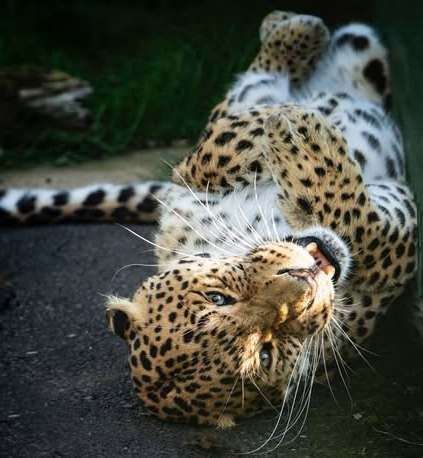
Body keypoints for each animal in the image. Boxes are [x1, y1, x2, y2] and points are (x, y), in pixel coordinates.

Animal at [0, 10, 420, 432]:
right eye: (267, 350)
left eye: (217, 297)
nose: (307, 277)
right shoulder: (396, 246)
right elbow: (360, 223)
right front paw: (299, 125)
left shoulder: (194, 177)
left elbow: (240, 121)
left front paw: (293, 98)